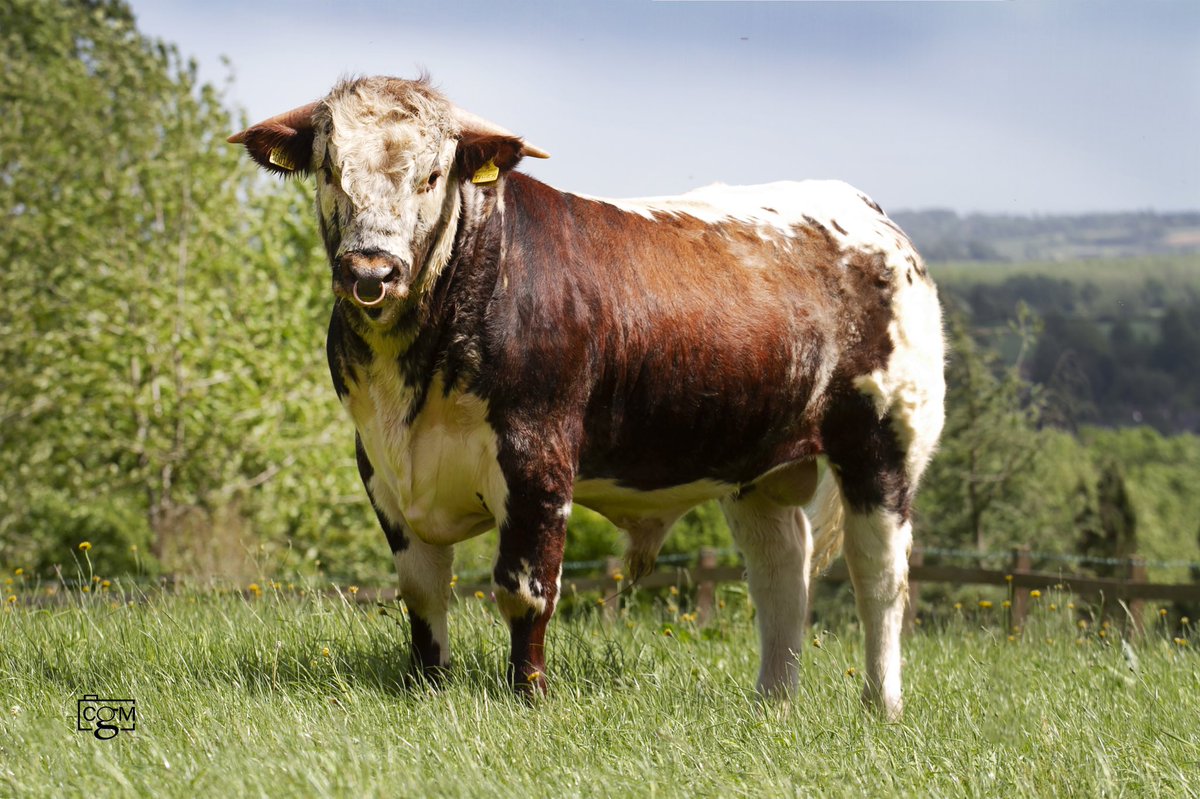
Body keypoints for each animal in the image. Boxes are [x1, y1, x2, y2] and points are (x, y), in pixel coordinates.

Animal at [229, 75, 945, 719]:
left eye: (432, 177)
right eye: (329, 170)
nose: (372, 269)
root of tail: (867, 211)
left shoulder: (537, 459)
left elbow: (525, 590)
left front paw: (529, 696)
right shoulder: (380, 466)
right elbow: (423, 593)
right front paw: (426, 688)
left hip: (884, 442)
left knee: (879, 575)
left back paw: (880, 707)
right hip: (754, 464)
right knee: (781, 572)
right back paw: (773, 702)